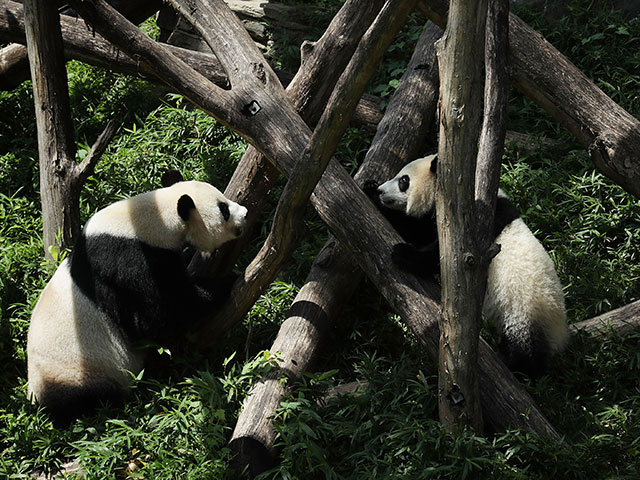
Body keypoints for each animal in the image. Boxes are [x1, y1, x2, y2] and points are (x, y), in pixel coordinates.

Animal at [27, 172, 248, 424]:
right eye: (224, 209)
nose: (245, 213)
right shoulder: (130, 261)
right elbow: (158, 318)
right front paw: (226, 281)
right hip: (81, 373)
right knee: (92, 400)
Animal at [368, 155, 568, 378]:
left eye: (404, 180)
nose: (382, 191)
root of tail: (560, 336)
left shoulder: (479, 225)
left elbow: (444, 256)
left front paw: (403, 253)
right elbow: (418, 230)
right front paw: (370, 189)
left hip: (524, 310)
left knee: (525, 351)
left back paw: (514, 366)